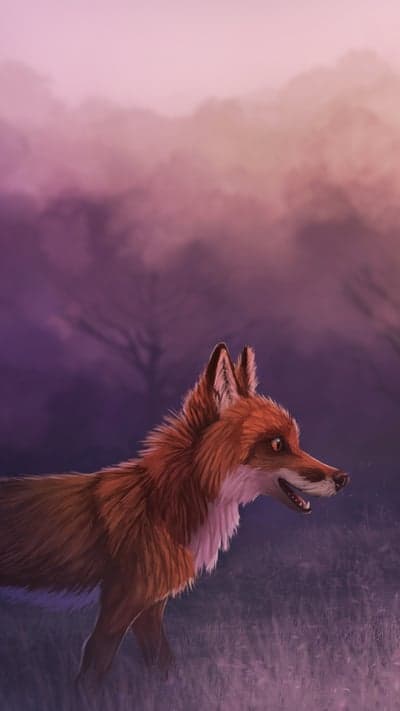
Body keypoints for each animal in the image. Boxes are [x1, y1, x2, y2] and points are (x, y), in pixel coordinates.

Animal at [0, 343, 349, 683]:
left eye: (296, 442)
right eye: (277, 444)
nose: (342, 478)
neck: (162, 505)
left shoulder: (150, 606)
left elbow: (164, 667)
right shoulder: (121, 602)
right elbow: (93, 673)